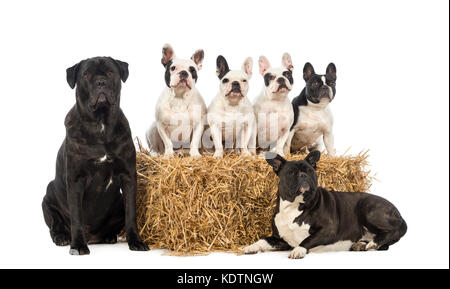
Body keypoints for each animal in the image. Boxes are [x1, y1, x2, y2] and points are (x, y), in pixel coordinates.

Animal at [244, 151, 406, 258]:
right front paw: (251, 247)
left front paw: (299, 250)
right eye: (291, 172)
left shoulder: (328, 229)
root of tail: (399, 214)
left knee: (391, 232)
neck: (294, 206)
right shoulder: (279, 239)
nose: (303, 175)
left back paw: (373, 243)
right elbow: (263, 239)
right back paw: (362, 244)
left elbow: (307, 239)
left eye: (310, 170)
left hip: (368, 209)